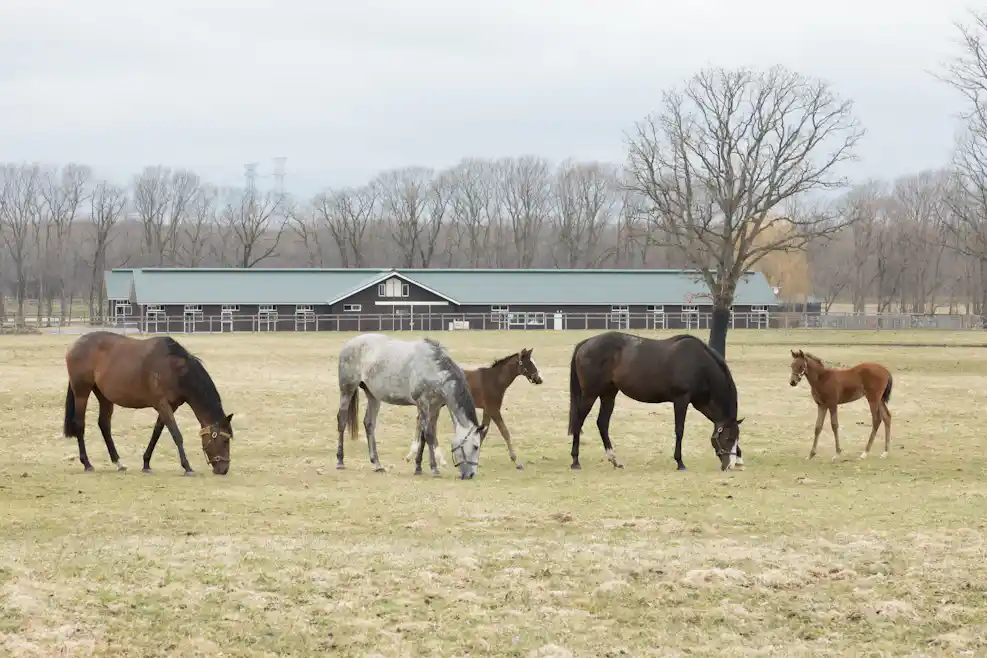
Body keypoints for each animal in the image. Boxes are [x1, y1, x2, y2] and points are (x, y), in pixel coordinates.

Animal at [63, 331, 235, 476]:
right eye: (225, 440)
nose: (224, 469)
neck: (175, 369)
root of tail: (74, 345)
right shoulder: (162, 404)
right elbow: (176, 434)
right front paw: (187, 466)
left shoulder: (169, 406)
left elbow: (156, 432)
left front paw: (146, 463)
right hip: (82, 393)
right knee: (80, 424)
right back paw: (87, 464)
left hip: (104, 396)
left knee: (104, 424)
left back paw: (118, 463)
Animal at [335, 333, 488, 479]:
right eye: (475, 447)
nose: (470, 475)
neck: (433, 368)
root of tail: (349, 344)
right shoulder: (423, 403)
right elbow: (429, 434)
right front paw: (434, 469)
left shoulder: (435, 407)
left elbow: (424, 436)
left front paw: (418, 467)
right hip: (347, 390)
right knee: (342, 420)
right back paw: (340, 461)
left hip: (373, 395)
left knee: (369, 423)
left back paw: (377, 464)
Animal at [404, 347, 543, 470]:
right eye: (529, 363)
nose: (539, 379)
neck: (495, 380)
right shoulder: (493, 409)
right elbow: (504, 431)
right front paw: (516, 461)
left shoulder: (488, 410)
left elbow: (483, 432)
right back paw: (413, 455)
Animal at [568, 331, 744, 471]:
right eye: (728, 439)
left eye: (734, 439)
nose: (729, 465)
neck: (698, 364)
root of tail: (586, 343)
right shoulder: (681, 400)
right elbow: (679, 430)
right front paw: (680, 462)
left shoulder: (702, 404)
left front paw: (740, 459)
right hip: (590, 394)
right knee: (579, 421)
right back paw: (575, 461)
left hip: (608, 394)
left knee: (602, 423)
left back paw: (614, 460)